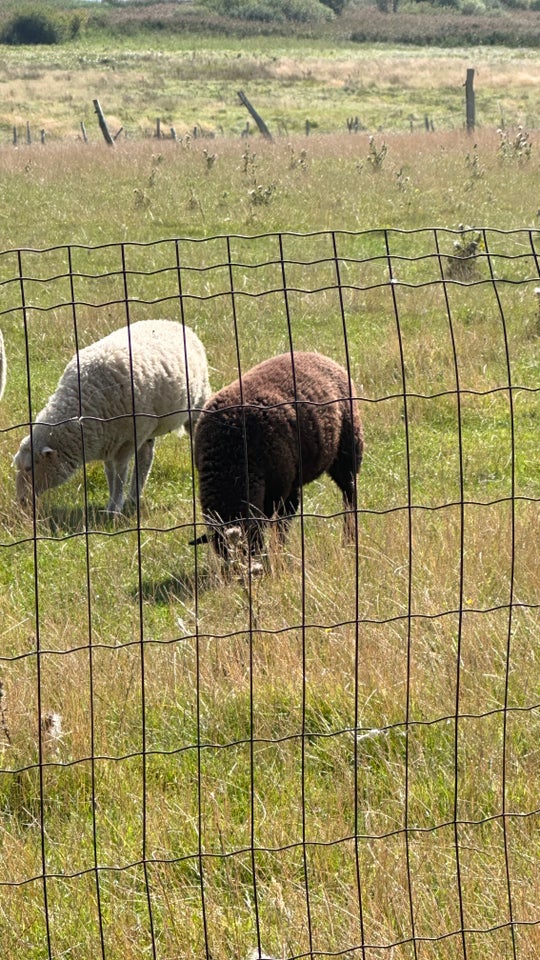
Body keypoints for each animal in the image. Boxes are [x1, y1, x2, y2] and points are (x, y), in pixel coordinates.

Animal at [12, 318, 211, 512]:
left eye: (29, 468)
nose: (21, 501)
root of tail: (173, 322)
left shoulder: (127, 441)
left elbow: (120, 473)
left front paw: (115, 508)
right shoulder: (108, 441)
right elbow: (109, 473)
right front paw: (110, 505)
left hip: (197, 403)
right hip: (147, 429)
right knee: (146, 458)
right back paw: (134, 498)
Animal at [192, 350, 364, 564]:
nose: (248, 572)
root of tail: (316, 354)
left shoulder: (279, 487)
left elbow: (281, 523)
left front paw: (279, 554)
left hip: (348, 449)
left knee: (349, 495)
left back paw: (349, 539)